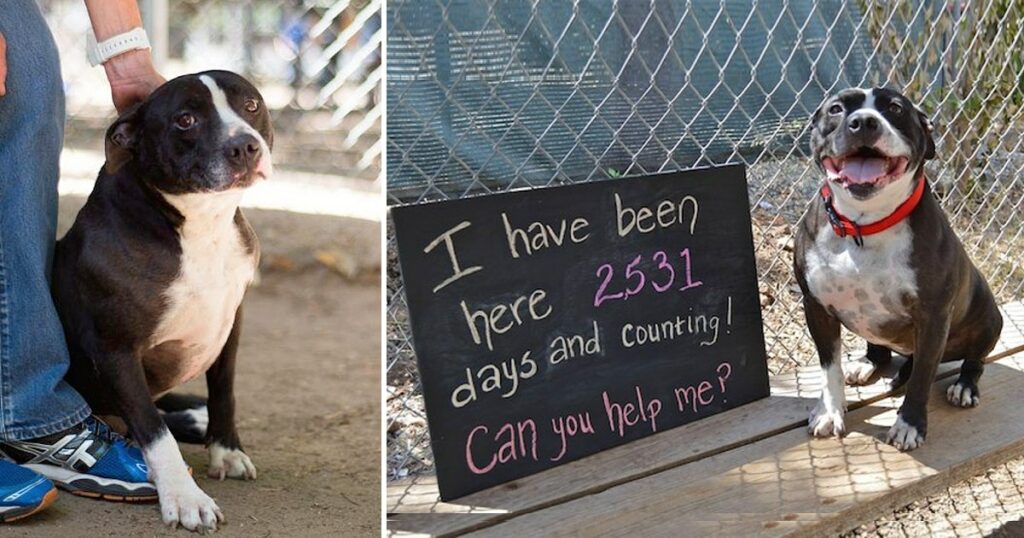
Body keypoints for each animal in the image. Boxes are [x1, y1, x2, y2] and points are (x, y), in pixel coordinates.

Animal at [52, 69, 272, 528]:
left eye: (251, 106)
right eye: (185, 120)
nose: (245, 145)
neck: (200, 225)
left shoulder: (231, 322)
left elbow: (224, 391)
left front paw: (226, 450)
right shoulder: (116, 351)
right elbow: (153, 429)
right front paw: (185, 496)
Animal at [790, 89, 999, 452]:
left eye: (895, 108)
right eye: (836, 109)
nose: (863, 122)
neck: (864, 225)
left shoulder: (933, 317)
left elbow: (922, 377)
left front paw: (909, 425)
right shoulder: (816, 307)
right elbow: (829, 368)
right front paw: (830, 411)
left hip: (989, 319)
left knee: (974, 360)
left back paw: (964, 386)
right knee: (881, 351)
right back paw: (867, 364)